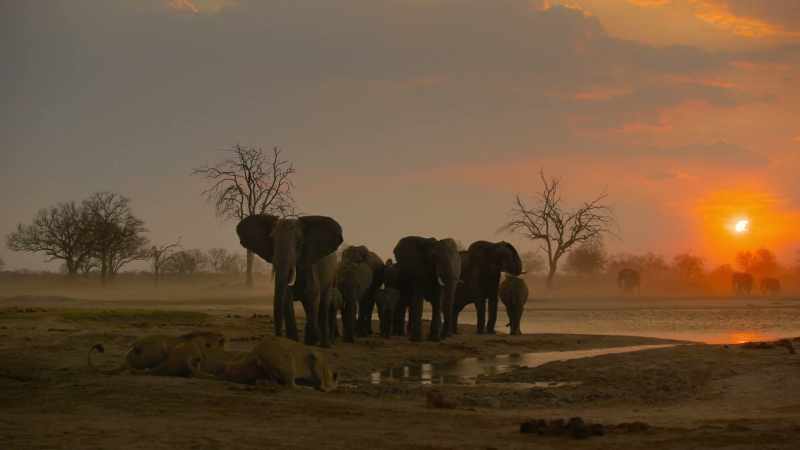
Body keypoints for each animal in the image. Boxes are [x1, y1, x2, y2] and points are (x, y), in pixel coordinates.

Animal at [236, 214, 343, 347]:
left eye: (299, 241)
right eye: (272, 239)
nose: (277, 336)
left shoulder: (310, 266)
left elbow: (312, 298)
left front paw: (310, 342)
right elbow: (287, 300)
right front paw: (293, 341)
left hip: (332, 276)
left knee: (323, 303)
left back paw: (324, 345)